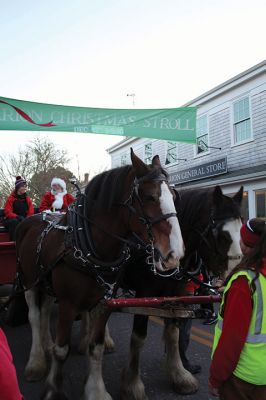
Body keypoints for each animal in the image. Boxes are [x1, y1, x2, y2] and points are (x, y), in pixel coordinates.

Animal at [14, 150, 184, 400]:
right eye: (150, 197)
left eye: (173, 195)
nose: (175, 253)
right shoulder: (67, 303)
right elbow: (62, 350)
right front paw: (53, 389)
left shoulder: (105, 302)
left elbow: (96, 347)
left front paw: (96, 390)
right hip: (29, 281)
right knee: (35, 317)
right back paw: (36, 362)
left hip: (45, 282)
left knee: (44, 312)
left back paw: (45, 346)